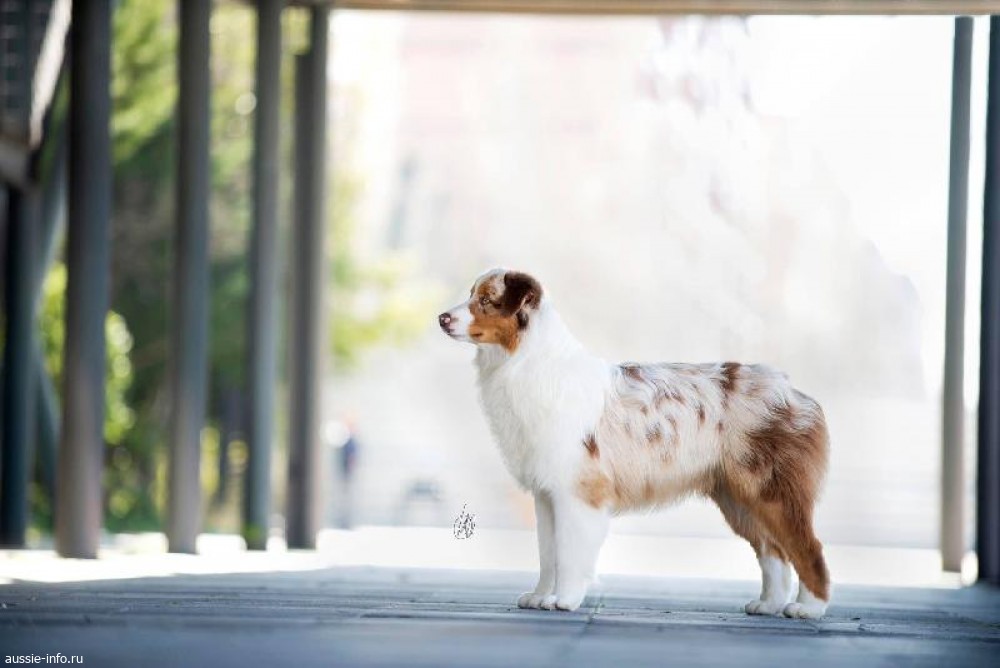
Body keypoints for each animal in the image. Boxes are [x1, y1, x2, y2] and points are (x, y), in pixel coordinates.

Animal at [438, 268, 831, 619]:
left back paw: (808, 608)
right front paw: (539, 596)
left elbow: (568, 551)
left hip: (770, 490)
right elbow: (547, 552)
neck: (525, 361)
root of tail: (793, 390)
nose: (442, 318)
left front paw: (564, 600)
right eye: (472, 294)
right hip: (739, 498)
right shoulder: (546, 493)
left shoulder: (578, 490)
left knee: (807, 548)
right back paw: (768, 604)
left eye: (486, 299)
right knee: (772, 551)